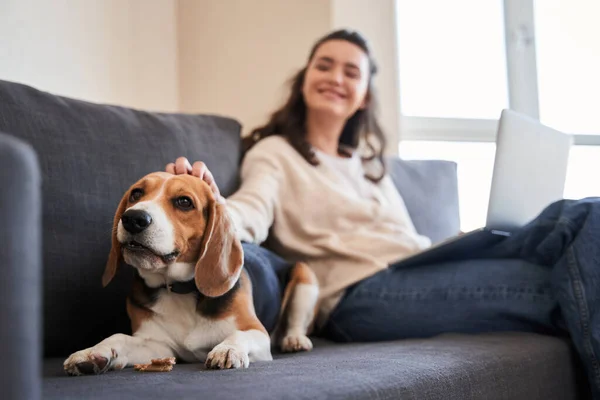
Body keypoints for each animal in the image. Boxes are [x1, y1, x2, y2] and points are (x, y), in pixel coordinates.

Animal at [63, 172, 318, 376]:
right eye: (136, 193)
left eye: (184, 202)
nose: (133, 218)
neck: (178, 289)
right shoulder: (160, 347)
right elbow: (118, 337)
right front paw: (93, 353)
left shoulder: (257, 333)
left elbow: (239, 335)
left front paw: (228, 349)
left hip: (305, 277)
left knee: (296, 320)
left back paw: (295, 339)